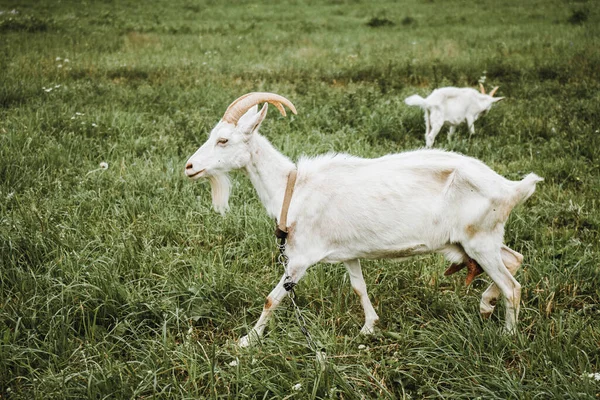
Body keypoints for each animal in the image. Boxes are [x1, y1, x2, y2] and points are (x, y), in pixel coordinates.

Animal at [185, 92, 540, 346]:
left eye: (223, 140)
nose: (189, 167)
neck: (293, 187)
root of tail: (510, 188)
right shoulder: (349, 252)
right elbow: (359, 287)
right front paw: (370, 327)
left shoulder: (300, 258)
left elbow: (273, 299)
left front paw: (247, 340)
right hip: (476, 241)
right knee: (514, 258)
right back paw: (485, 304)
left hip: (479, 239)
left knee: (512, 286)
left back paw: (508, 336)